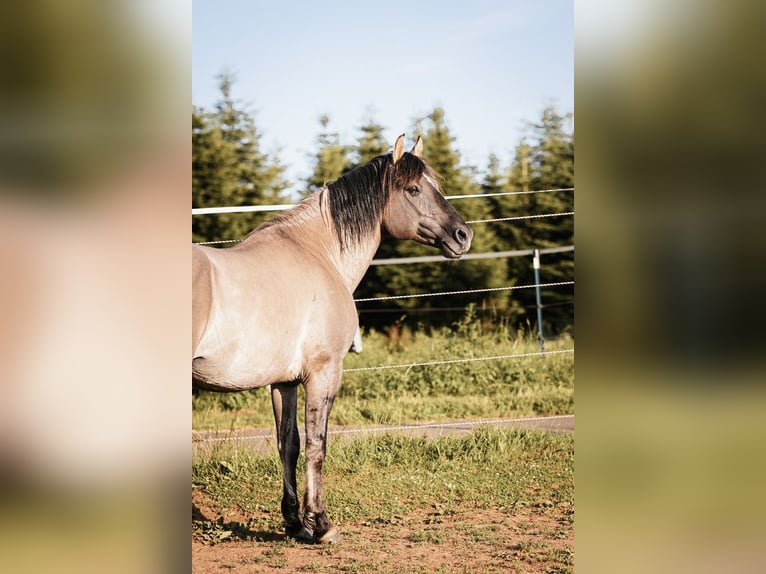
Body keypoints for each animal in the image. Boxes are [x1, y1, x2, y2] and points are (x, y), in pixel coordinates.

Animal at [192, 134, 473, 544]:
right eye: (414, 189)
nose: (463, 235)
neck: (317, 253)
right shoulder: (323, 374)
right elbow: (316, 444)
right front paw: (321, 524)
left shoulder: (285, 382)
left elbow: (289, 444)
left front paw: (295, 523)